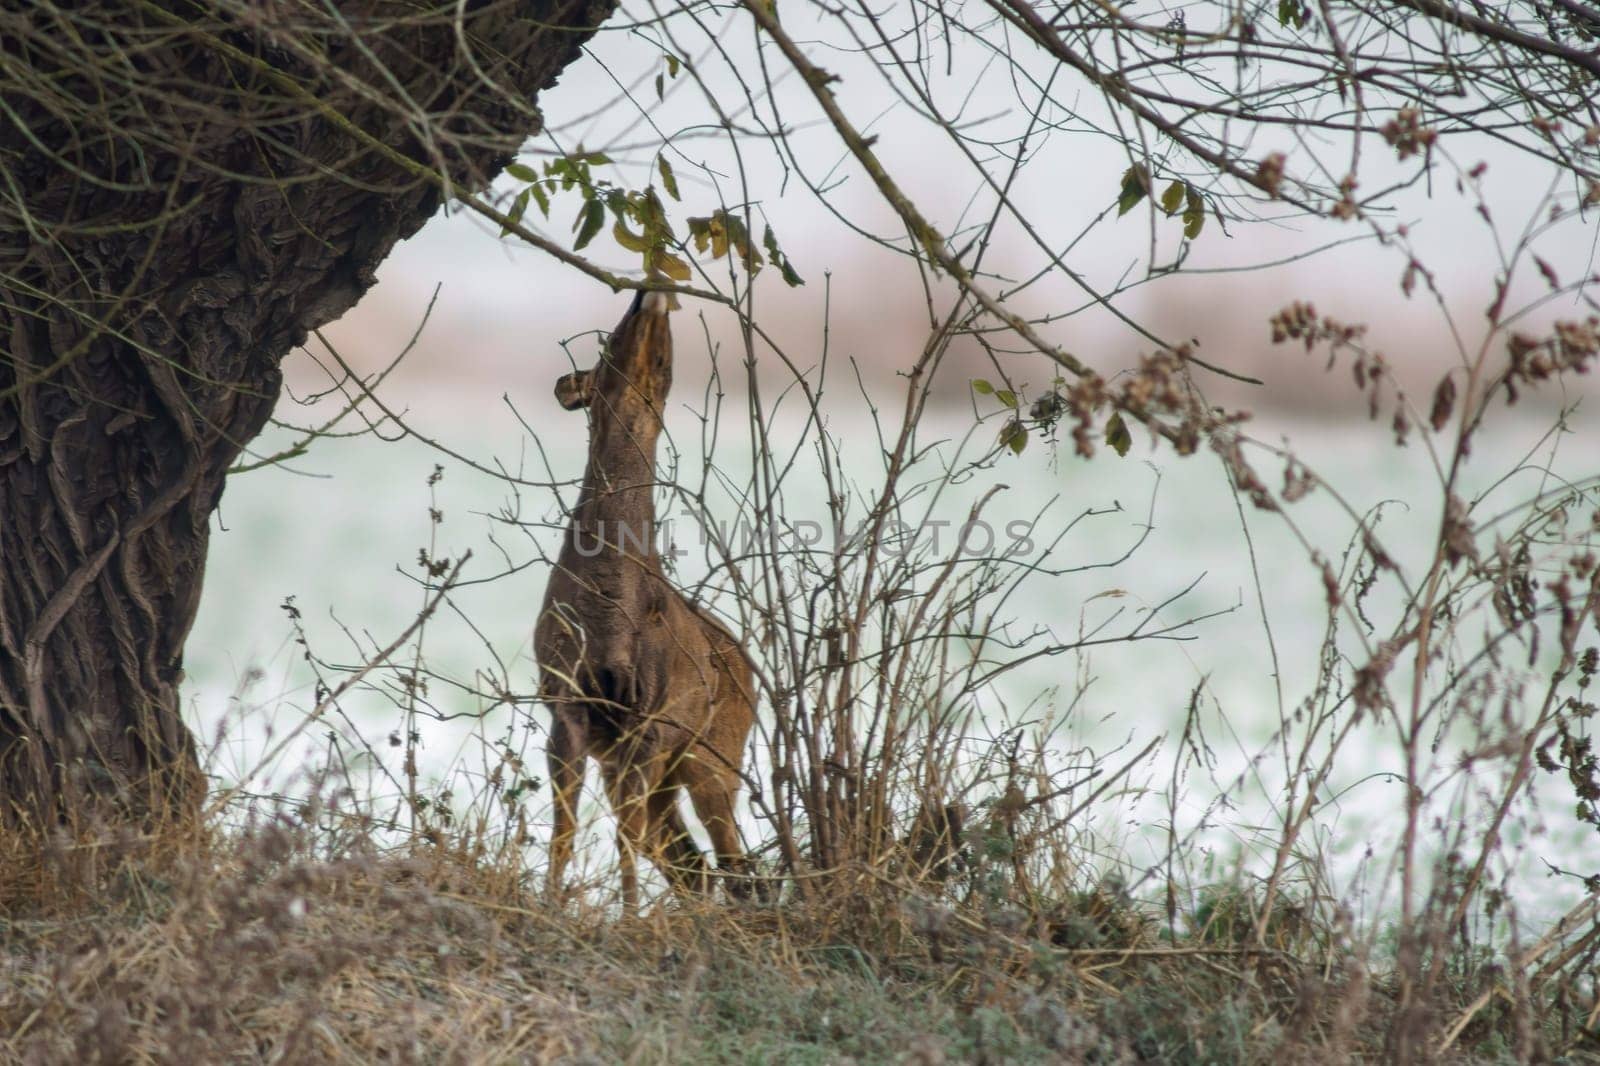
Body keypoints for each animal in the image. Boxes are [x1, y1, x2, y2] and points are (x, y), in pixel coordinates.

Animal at [534, 286, 758, 909]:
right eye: (612, 340)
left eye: (665, 360)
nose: (647, 290)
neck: (609, 596)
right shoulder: (566, 703)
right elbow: (564, 834)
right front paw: (550, 905)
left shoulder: (647, 715)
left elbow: (623, 840)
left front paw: (627, 916)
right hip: (662, 764)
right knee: (692, 863)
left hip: (715, 754)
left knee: (730, 862)